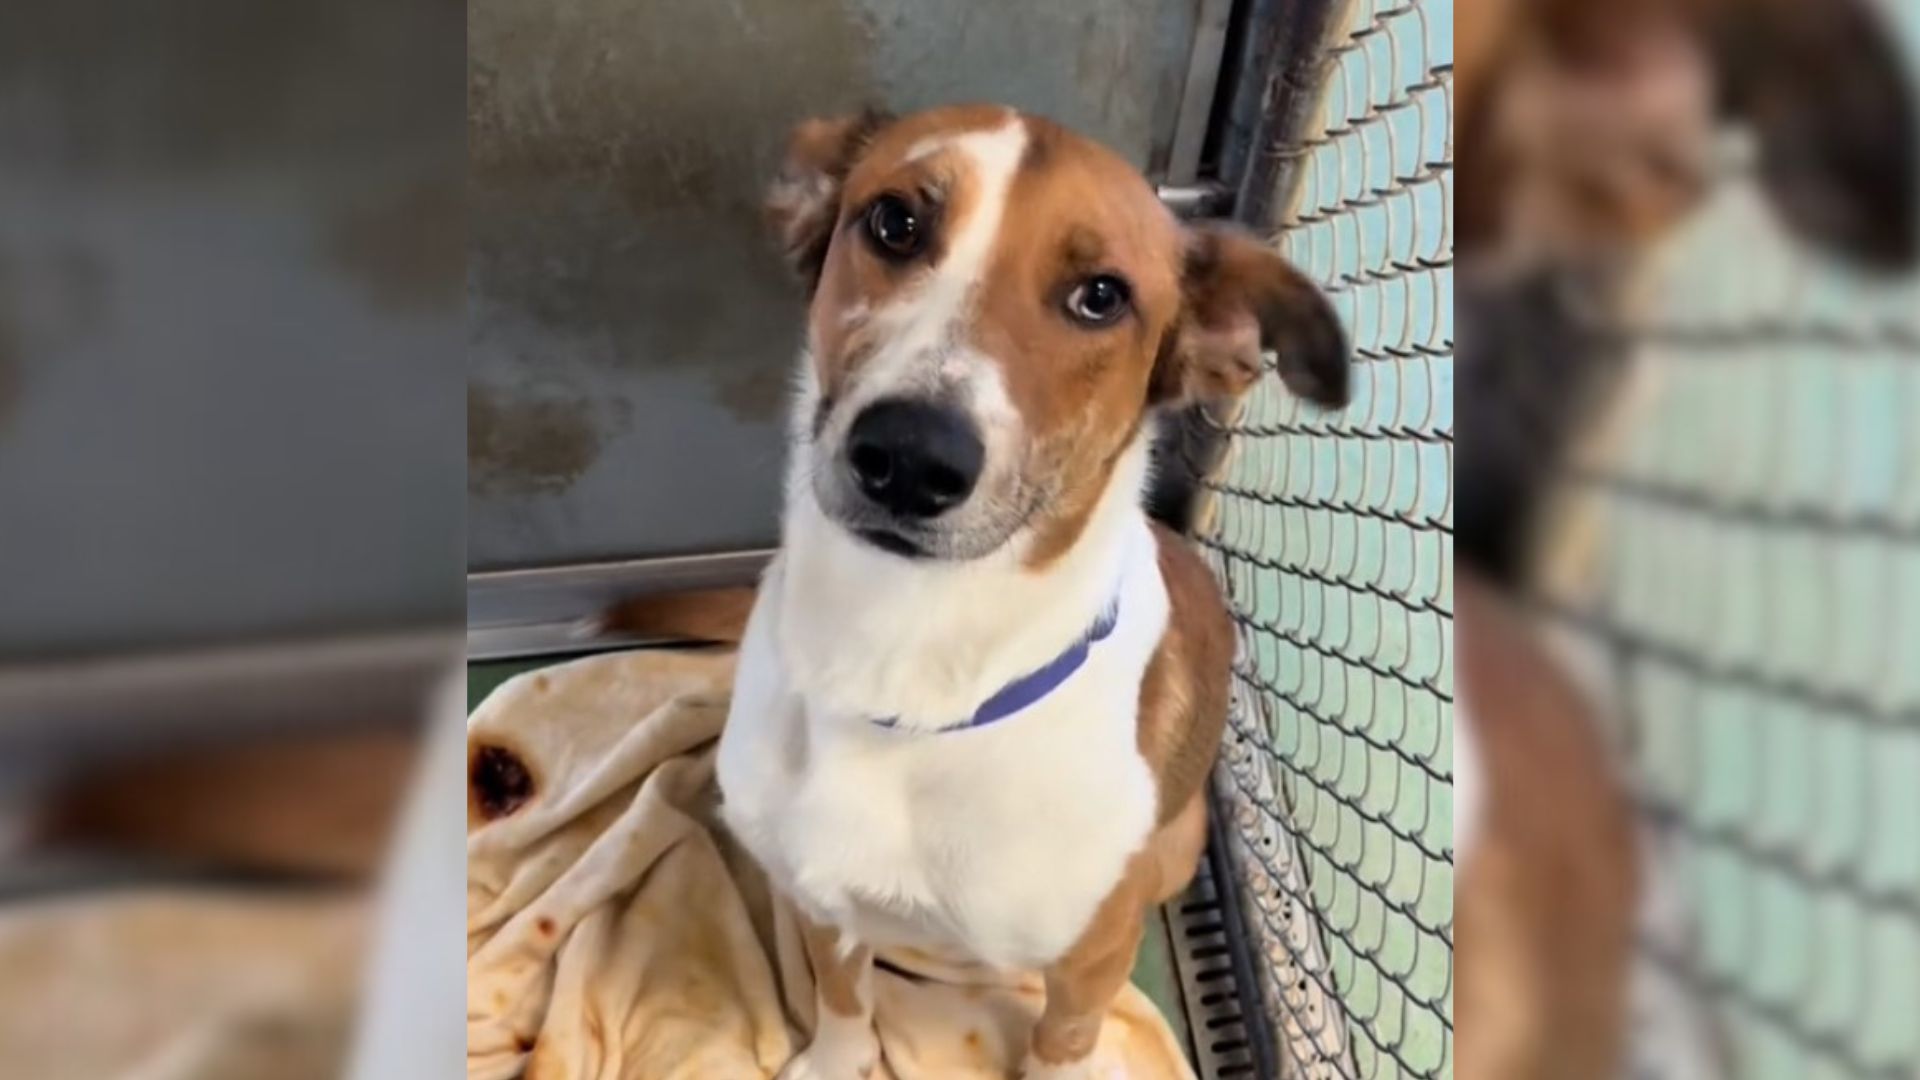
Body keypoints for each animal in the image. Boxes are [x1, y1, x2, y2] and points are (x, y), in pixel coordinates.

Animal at [656, 102, 1351, 1076]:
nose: (910, 457)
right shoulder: (820, 899)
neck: (901, 671)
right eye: (895, 222)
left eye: (1101, 296)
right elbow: (842, 1000)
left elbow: (1061, 1045)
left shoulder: (1090, 966)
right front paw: (834, 1059)